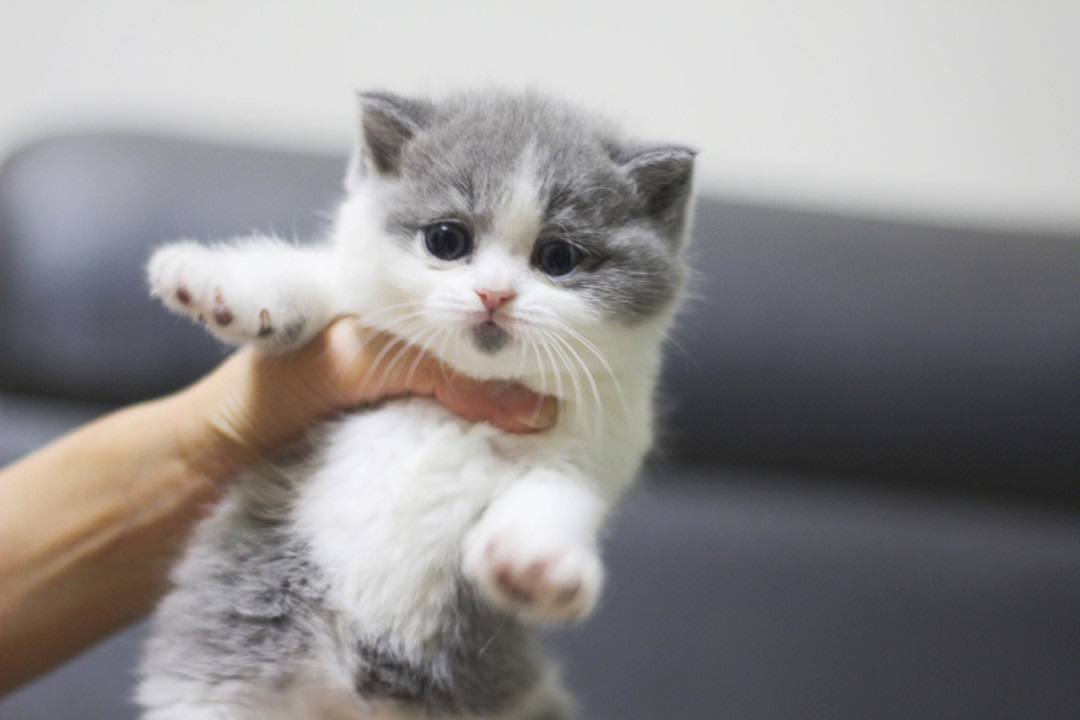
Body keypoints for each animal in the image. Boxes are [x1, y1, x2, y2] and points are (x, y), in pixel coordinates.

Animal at [137, 90, 691, 720]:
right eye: (447, 240)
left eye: (557, 256)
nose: (494, 294)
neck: (463, 400)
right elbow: (318, 277)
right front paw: (219, 281)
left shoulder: (598, 443)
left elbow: (556, 495)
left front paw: (534, 567)